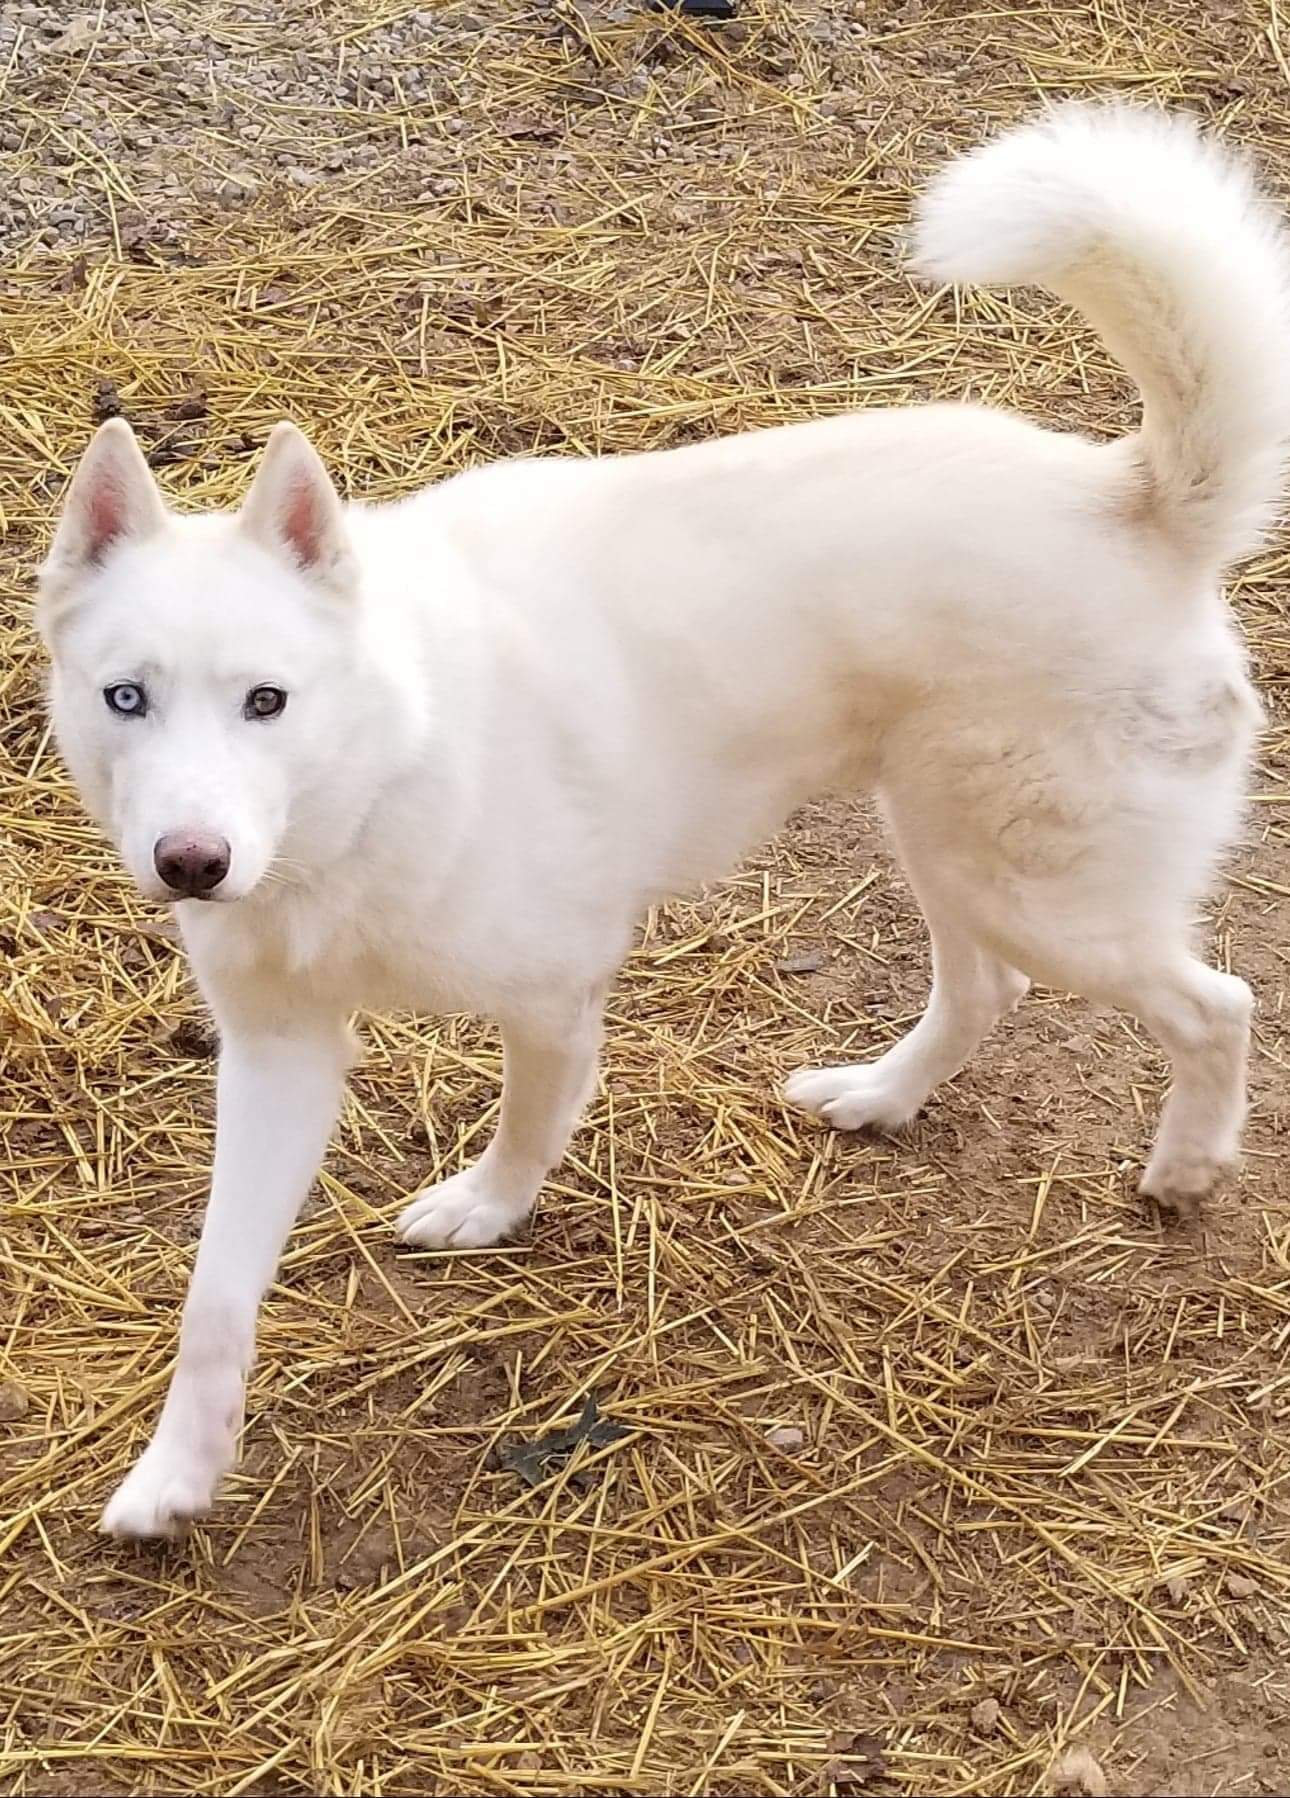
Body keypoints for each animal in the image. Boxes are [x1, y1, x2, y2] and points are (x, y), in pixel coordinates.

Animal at [35, 105, 1281, 1539]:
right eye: (126, 696)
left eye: (265, 700)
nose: (192, 863)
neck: (376, 775)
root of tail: (1133, 494)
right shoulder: (278, 1054)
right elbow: (214, 1300)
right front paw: (176, 1474)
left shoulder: (551, 998)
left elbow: (529, 1125)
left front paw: (485, 1210)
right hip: (948, 849)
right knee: (985, 996)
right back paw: (879, 1097)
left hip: (1042, 890)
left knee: (1215, 1005)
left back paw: (1186, 1165)